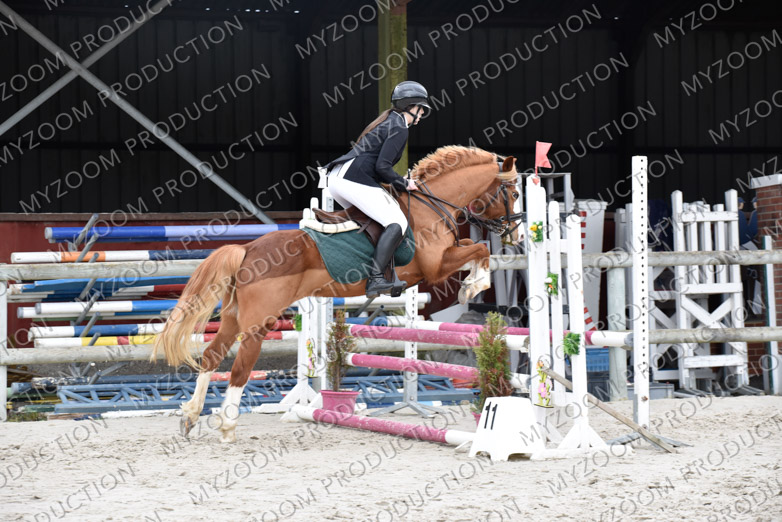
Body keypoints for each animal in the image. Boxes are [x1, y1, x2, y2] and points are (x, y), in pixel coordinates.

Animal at [151, 145, 521, 442]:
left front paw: (471, 284)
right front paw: (473, 286)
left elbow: (473, 245)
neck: (430, 206)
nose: (516, 234)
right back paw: (227, 427)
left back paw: (190, 417)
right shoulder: (435, 267)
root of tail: (246, 250)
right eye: (515, 193)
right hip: (258, 323)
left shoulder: (440, 261)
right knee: (240, 369)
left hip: (232, 317)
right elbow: (480, 250)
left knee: (212, 356)